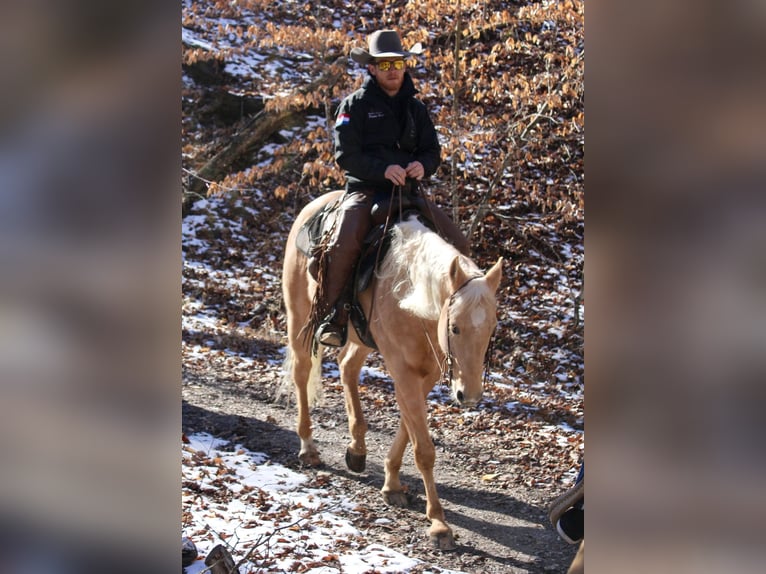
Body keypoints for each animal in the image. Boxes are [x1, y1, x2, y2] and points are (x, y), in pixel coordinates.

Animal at [281, 190, 503, 550]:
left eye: (491, 328)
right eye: (455, 327)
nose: (468, 396)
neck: (411, 295)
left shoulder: (423, 374)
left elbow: (407, 426)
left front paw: (393, 484)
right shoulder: (404, 371)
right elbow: (423, 448)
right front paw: (439, 524)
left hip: (361, 338)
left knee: (347, 366)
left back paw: (357, 450)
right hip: (300, 317)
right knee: (302, 374)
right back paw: (308, 448)